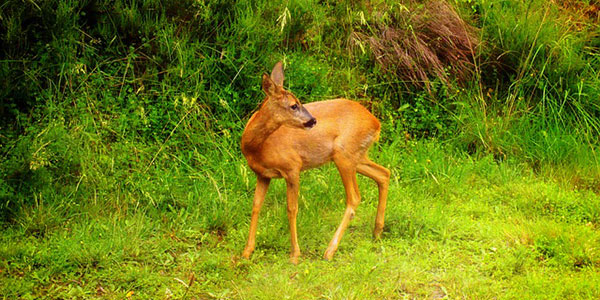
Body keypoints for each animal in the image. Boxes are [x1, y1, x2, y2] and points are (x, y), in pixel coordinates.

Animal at [241, 62, 392, 264]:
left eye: (299, 102)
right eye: (293, 105)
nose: (312, 120)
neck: (259, 147)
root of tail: (376, 123)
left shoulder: (292, 167)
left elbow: (292, 208)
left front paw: (295, 255)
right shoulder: (262, 175)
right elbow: (256, 206)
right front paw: (247, 252)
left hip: (344, 154)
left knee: (354, 197)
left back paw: (330, 251)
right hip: (356, 156)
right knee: (383, 173)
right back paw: (377, 232)